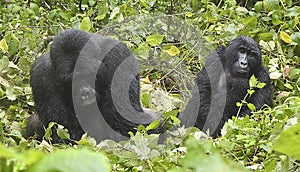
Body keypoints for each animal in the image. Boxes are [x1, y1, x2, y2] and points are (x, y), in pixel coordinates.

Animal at [27, 29, 272, 142]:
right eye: (72, 81)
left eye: (86, 76)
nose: (84, 93)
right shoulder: (41, 72)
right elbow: (59, 124)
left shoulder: (117, 56)